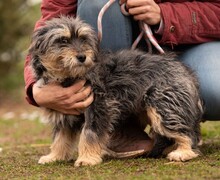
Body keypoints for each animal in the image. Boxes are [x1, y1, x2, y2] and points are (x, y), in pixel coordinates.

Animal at [28, 16, 204, 167]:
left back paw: (183, 152)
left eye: (83, 39)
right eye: (63, 40)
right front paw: (54, 157)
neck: (72, 76)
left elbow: (89, 134)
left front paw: (87, 158)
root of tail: (184, 70)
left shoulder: (98, 108)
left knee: (187, 133)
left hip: (163, 107)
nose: (82, 57)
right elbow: (59, 138)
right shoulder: (64, 113)